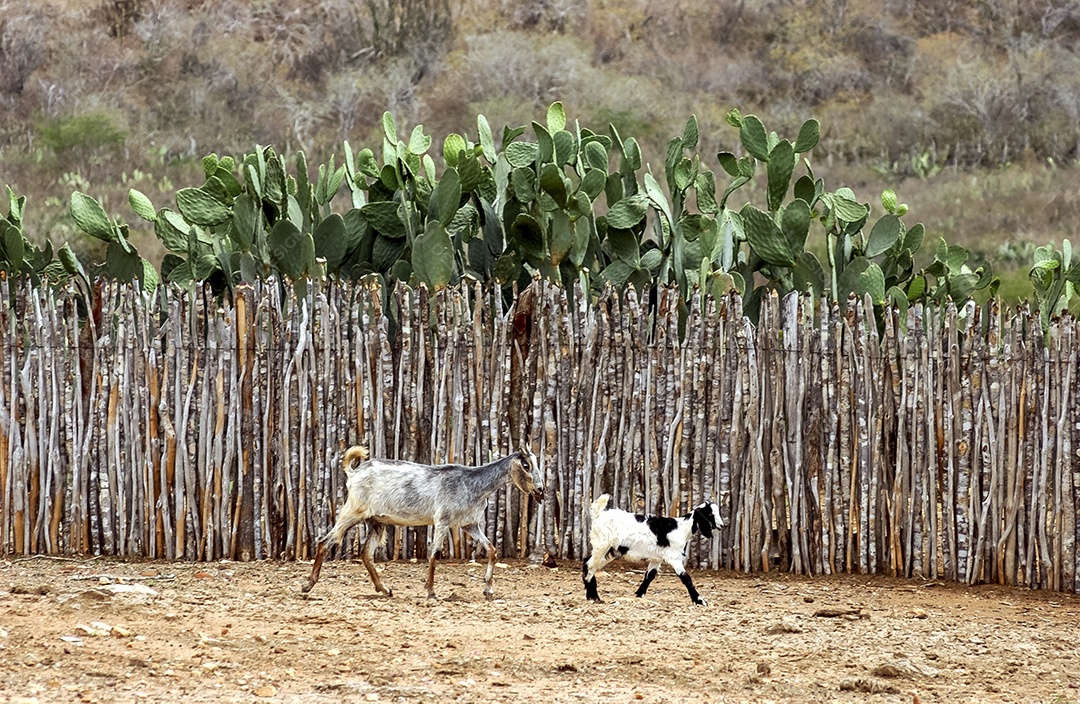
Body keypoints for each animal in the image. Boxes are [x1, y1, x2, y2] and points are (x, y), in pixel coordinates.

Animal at [302, 449, 540, 596]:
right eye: (526, 465)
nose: (541, 489)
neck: (472, 483)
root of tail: (354, 472)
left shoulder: (469, 525)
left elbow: (492, 549)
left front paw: (488, 589)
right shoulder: (442, 520)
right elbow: (434, 553)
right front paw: (431, 591)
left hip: (376, 521)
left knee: (366, 554)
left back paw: (385, 589)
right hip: (354, 510)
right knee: (325, 541)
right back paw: (307, 586)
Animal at [587, 494, 721, 604]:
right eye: (710, 514)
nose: (721, 526)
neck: (681, 529)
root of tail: (598, 515)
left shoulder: (657, 558)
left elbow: (649, 576)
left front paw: (638, 594)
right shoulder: (673, 557)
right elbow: (685, 577)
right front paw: (700, 600)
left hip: (609, 551)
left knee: (590, 564)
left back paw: (593, 596)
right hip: (602, 545)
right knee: (589, 565)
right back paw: (592, 597)